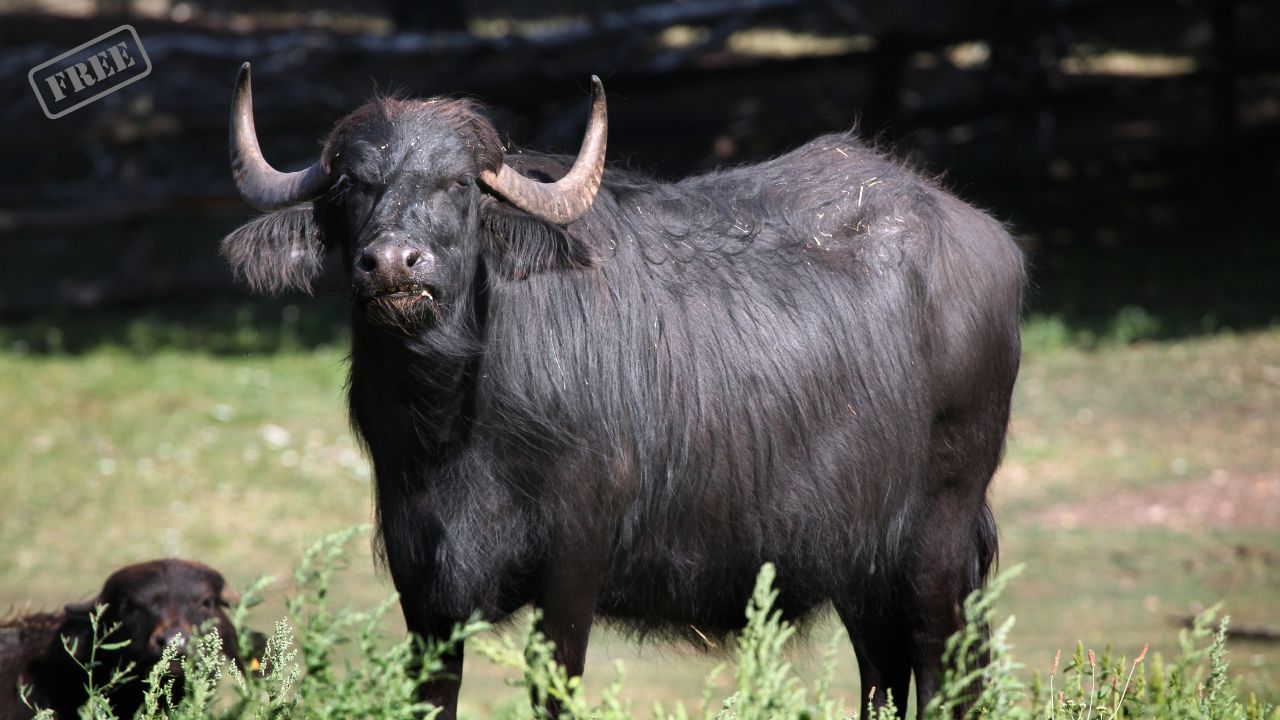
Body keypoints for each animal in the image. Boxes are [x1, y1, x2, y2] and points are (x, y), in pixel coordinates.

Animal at [220, 64, 1018, 712]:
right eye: (353, 184)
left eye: (457, 184)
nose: (391, 263)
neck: (452, 422)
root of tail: (987, 238)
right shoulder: (422, 581)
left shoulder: (573, 561)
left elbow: (554, 692)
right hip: (860, 558)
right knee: (883, 674)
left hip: (937, 539)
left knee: (949, 673)